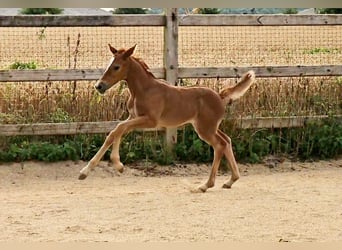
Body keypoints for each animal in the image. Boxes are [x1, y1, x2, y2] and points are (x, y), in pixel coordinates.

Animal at [78, 44, 254, 193]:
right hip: (208, 127)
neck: (144, 90)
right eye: (108, 64)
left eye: (116, 67)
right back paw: (230, 180)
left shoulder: (151, 120)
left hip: (205, 129)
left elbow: (119, 128)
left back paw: (205, 185)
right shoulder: (133, 117)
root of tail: (220, 96)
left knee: (219, 145)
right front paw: (86, 171)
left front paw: (118, 164)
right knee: (227, 140)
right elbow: (115, 132)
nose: (99, 86)